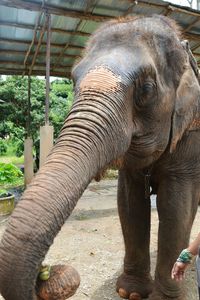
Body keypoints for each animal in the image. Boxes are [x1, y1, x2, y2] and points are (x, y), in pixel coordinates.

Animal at [0, 14, 200, 300]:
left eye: (146, 88)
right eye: (73, 81)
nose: (45, 272)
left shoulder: (191, 135)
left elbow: (176, 206)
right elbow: (130, 204)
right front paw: (131, 292)